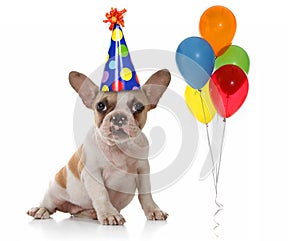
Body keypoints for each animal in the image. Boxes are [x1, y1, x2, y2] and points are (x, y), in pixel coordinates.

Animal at [27, 68, 171, 225]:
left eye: (138, 107)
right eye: (100, 106)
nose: (119, 117)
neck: (119, 147)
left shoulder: (143, 170)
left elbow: (146, 193)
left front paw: (153, 210)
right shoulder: (92, 172)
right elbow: (101, 193)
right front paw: (109, 214)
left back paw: (91, 213)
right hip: (54, 189)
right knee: (49, 204)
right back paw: (40, 210)